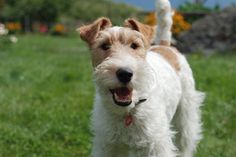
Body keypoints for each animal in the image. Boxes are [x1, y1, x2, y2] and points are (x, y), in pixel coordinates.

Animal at [78, 0, 204, 156]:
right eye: (104, 45)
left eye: (135, 45)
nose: (125, 73)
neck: (128, 112)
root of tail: (165, 45)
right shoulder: (107, 145)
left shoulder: (156, 144)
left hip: (186, 114)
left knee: (185, 142)